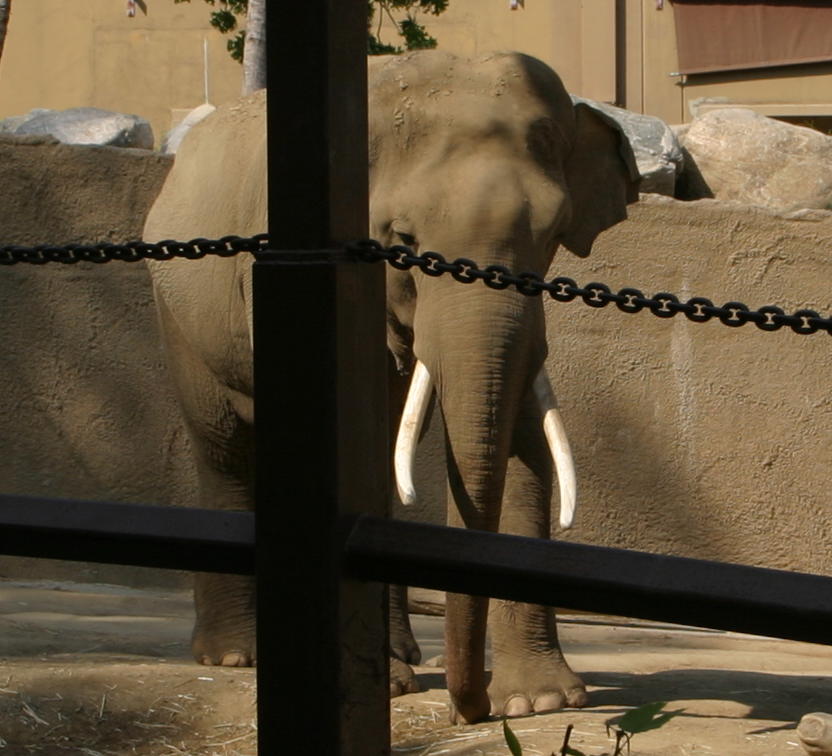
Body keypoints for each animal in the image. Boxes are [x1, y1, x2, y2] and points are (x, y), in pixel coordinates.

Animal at [141, 50, 636, 724]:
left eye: (553, 232)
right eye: (403, 242)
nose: (469, 710)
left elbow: (519, 432)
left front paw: (538, 702)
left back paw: (399, 657)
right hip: (178, 307)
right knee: (223, 447)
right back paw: (236, 655)